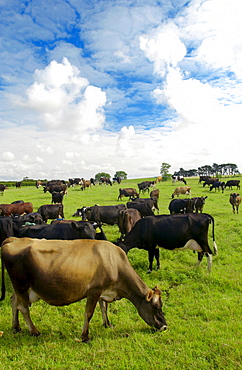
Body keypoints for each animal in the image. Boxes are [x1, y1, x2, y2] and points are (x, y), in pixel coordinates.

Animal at [0, 238, 166, 342]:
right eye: (156, 307)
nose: (165, 326)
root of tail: (13, 239)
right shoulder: (94, 290)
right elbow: (89, 313)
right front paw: (85, 336)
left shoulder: (103, 290)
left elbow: (104, 307)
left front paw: (107, 324)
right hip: (21, 285)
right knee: (23, 308)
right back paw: (34, 331)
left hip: (20, 288)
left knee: (14, 302)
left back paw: (16, 327)